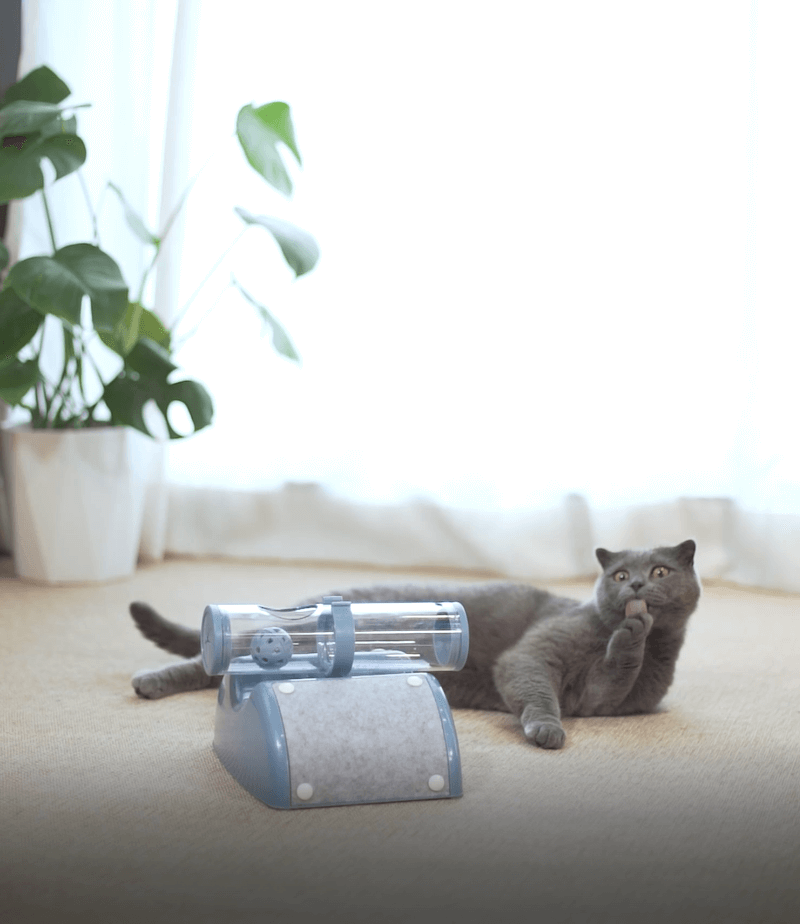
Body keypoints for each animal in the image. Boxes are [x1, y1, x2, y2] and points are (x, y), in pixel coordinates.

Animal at [131, 536, 700, 748]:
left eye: (660, 570)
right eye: (620, 575)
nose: (637, 587)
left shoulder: (605, 698)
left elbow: (615, 672)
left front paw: (632, 634)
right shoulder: (535, 653)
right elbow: (536, 686)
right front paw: (545, 729)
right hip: (279, 638)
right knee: (207, 659)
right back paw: (149, 682)